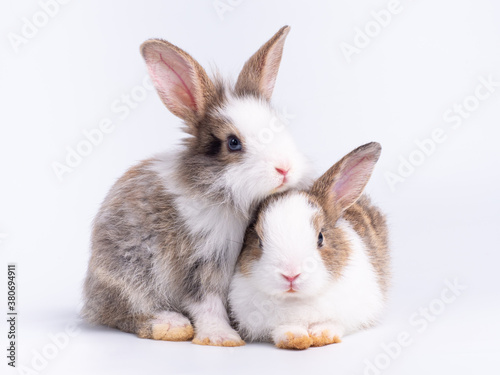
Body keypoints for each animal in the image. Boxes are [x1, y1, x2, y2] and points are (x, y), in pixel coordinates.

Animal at [81, 26, 312, 348]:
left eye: (279, 126)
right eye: (233, 143)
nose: (285, 168)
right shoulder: (198, 261)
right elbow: (207, 302)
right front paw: (222, 338)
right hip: (128, 275)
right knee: (123, 312)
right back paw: (169, 325)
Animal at [228, 142, 390, 352]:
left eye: (320, 237)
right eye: (259, 240)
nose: (291, 275)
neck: (298, 299)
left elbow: (334, 323)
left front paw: (323, 336)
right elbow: (283, 328)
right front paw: (295, 339)